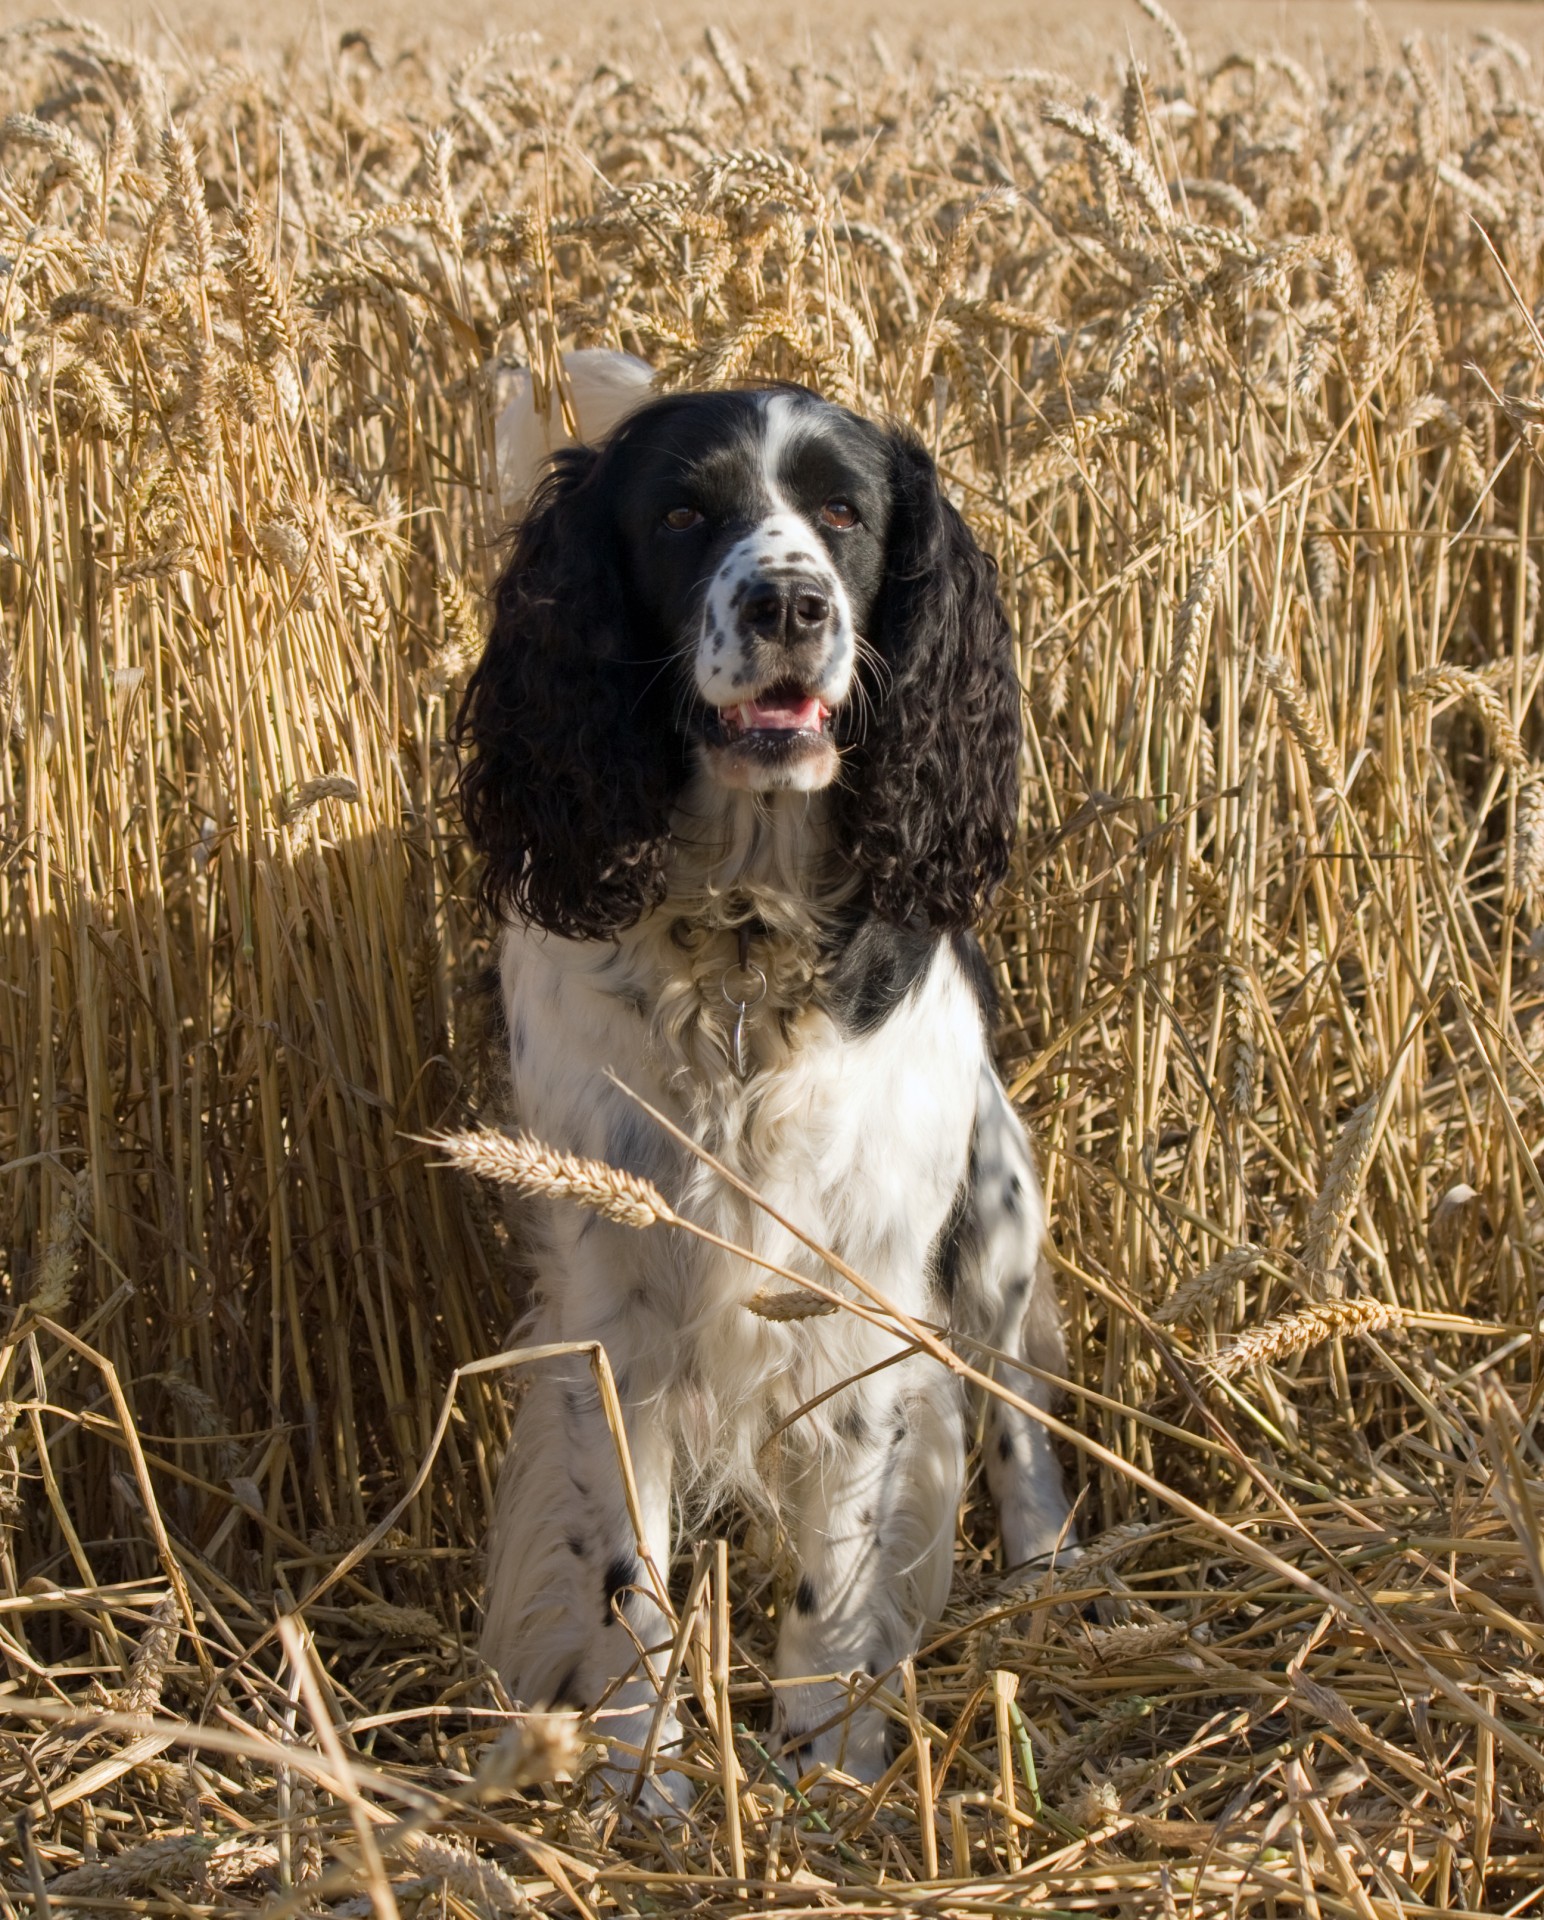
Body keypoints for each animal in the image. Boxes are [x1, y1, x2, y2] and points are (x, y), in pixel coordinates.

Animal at [458, 374, 1075, 1797]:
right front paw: (642, 1780)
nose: (789, 605)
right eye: (682, 515)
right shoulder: (611, 1304)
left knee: (1014, 1408)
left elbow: (838, 1560)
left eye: (844, 513)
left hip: (993, 1213)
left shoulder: (862, 1283)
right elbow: (624, 1570)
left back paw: (1051, 1582)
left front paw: (821, 1760)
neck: (738, 944)